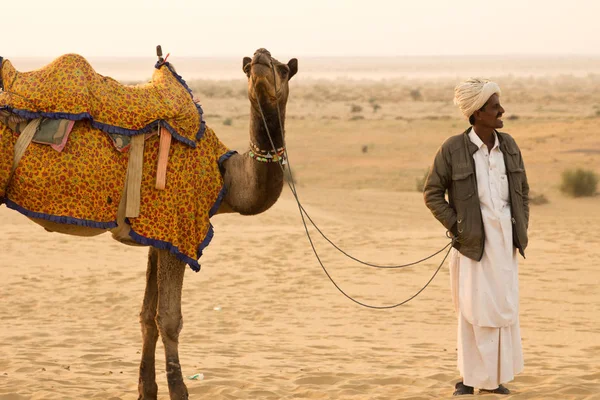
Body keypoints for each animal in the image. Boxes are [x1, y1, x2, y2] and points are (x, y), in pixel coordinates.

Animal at [0, 48, 298, 398]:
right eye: (250, 67)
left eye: (282, 68)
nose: (261, 55)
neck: (225, 179)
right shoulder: (178, 231)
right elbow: (169, 319)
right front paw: (179, 391)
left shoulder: (159, 235)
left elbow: (147, 317)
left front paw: (147, 389)